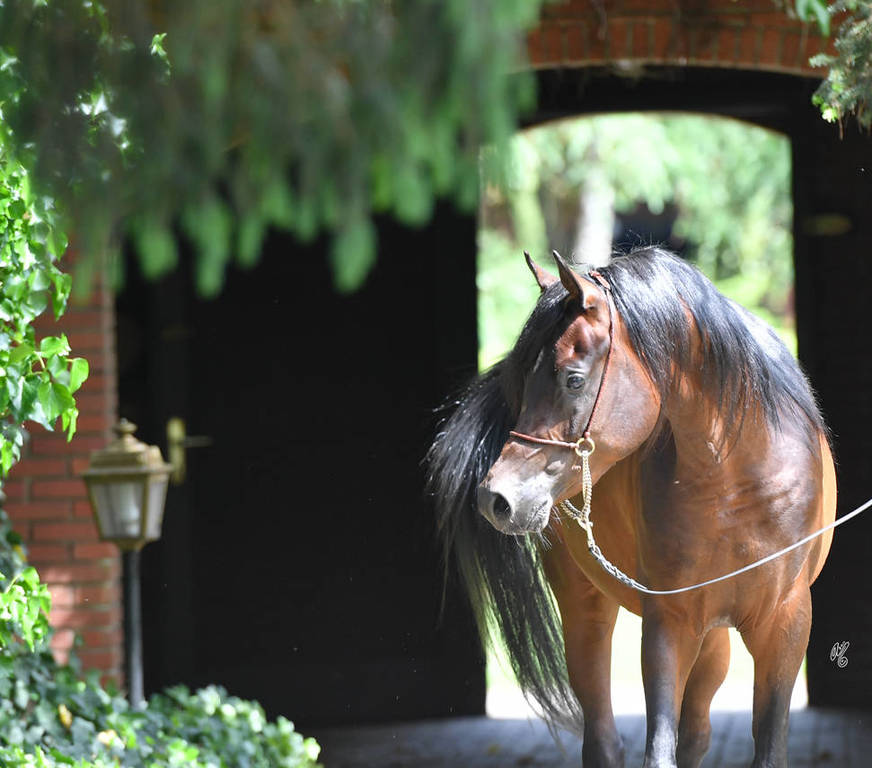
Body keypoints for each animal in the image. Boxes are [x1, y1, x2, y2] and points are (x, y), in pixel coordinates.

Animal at [426, 246, 836, 768]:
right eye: (519, 385)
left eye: (573, 380)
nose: (496, 498)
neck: (738, 477)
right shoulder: (669, 623)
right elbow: (658, 746)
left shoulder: (785, 624)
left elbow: (763, 745)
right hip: (587, 607)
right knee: (604, 737)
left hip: (712, 635)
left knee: (696, 731)